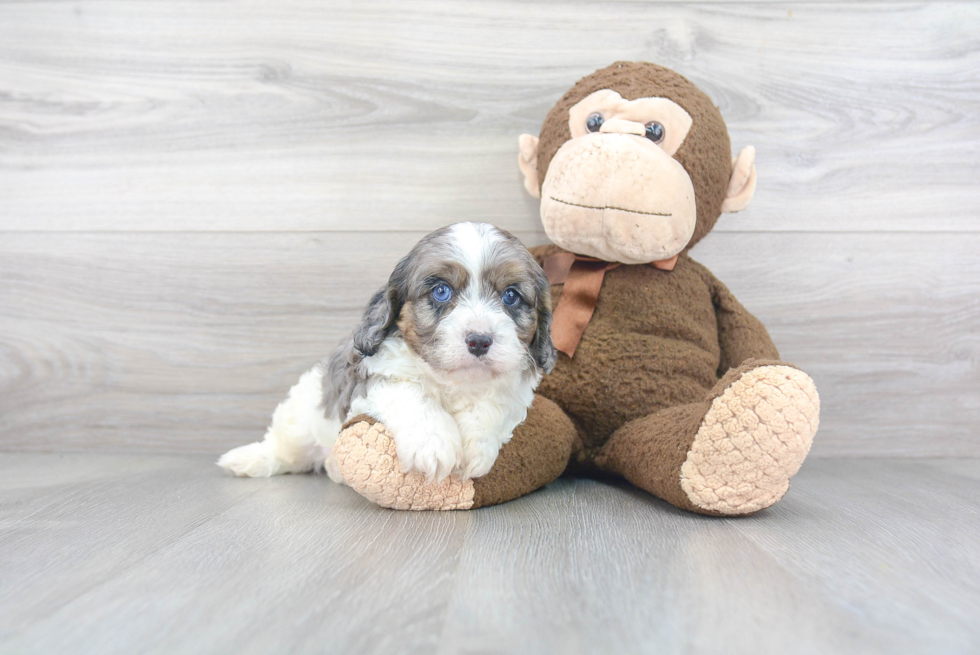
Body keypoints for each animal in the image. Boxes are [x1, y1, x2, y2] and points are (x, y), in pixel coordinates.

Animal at [219, 223, 556, 484]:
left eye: (510, 296)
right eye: (441, 291)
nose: (479, 341)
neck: (450, 382)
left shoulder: (516, 390)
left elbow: (495, 403)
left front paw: (476, 446)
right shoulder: (368, 375)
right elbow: (411, 394)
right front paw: (433, 444)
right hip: (301, 417)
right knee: (284, 449)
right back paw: (247, 459)